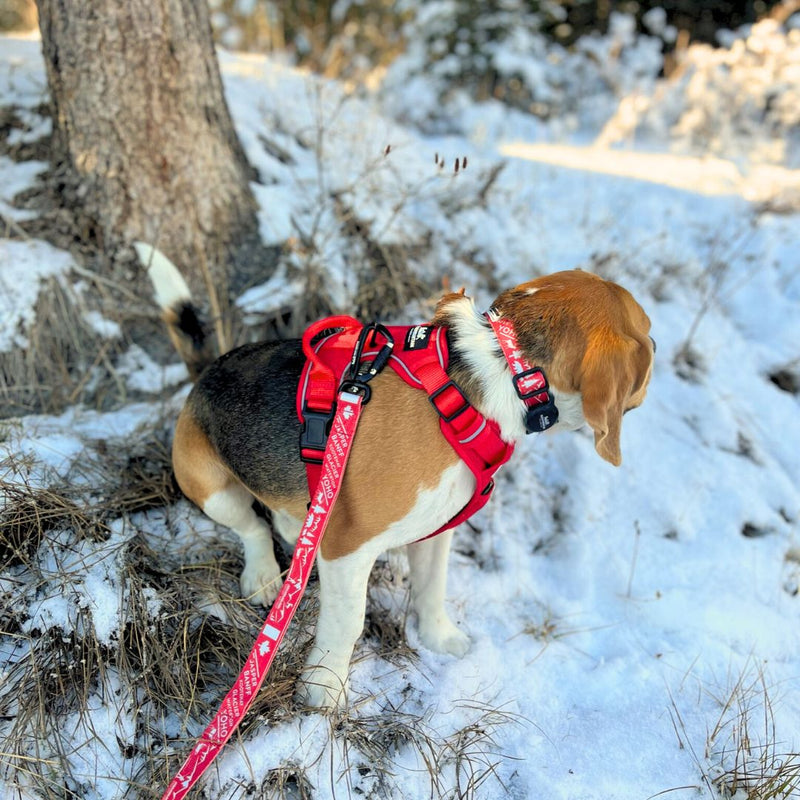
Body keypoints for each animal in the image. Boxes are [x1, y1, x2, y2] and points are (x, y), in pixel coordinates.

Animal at [138, 244, 652, 708]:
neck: (498, 371)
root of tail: (206, 371)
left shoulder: (436, 530)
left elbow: (432, 588)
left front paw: (439, 638)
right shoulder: (346, 545)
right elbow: (348, 621)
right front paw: (323, 688)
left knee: (285, 521)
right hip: (208, 486)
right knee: (251, 527)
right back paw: (264, 574)